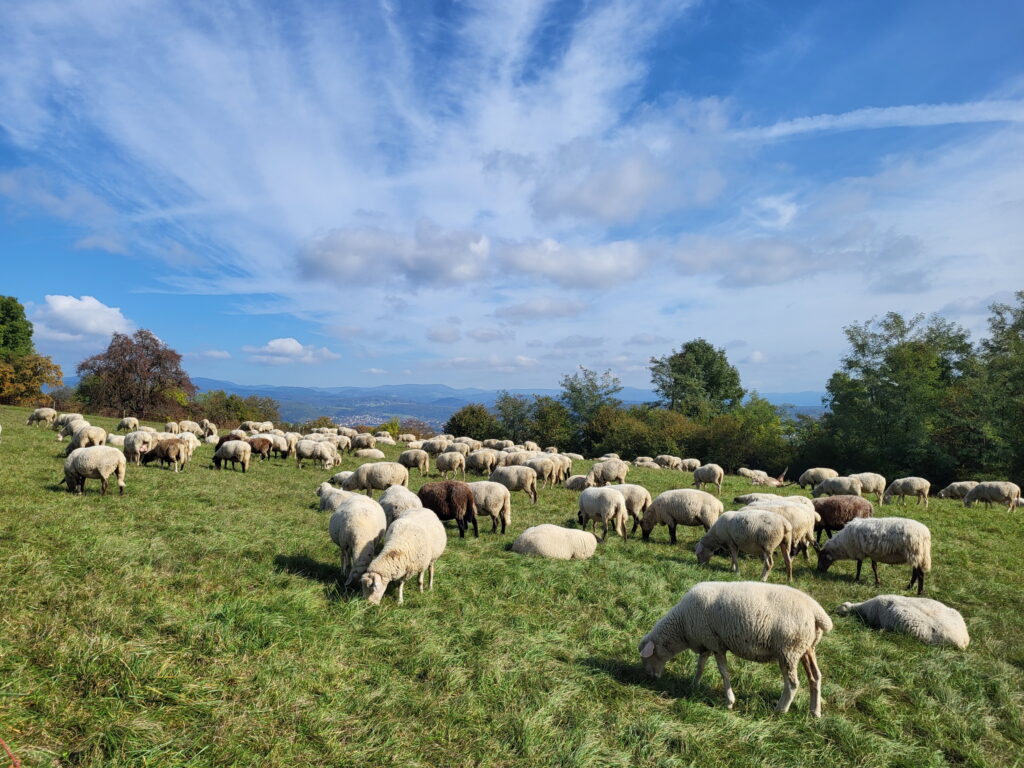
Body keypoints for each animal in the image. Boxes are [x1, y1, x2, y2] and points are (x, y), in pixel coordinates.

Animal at [638, 585, 831, 720]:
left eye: (647, 658)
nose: (649, 678)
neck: (682, 625)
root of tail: (817, 612)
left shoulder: (715, 643)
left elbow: (724, 673)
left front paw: (730, 701)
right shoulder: (707, 642)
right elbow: (700, 666)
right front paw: (694, 684)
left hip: (788, 650)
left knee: (792, 684)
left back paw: (780, 710)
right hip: (807, 648)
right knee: (815, 677)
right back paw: (815, 711)